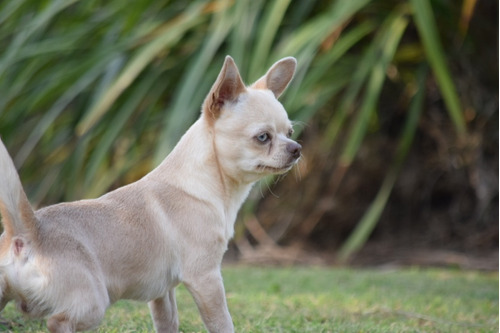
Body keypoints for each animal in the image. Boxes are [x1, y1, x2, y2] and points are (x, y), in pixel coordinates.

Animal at [0, 55, 298, 330]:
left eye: (290, 132)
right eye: (263, 137)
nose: (297, 148)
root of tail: (28, 232)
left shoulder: (163, 293)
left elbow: (168, 323)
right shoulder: (206, 277)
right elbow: (222, 323)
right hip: (93, 303)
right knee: (56, 322)